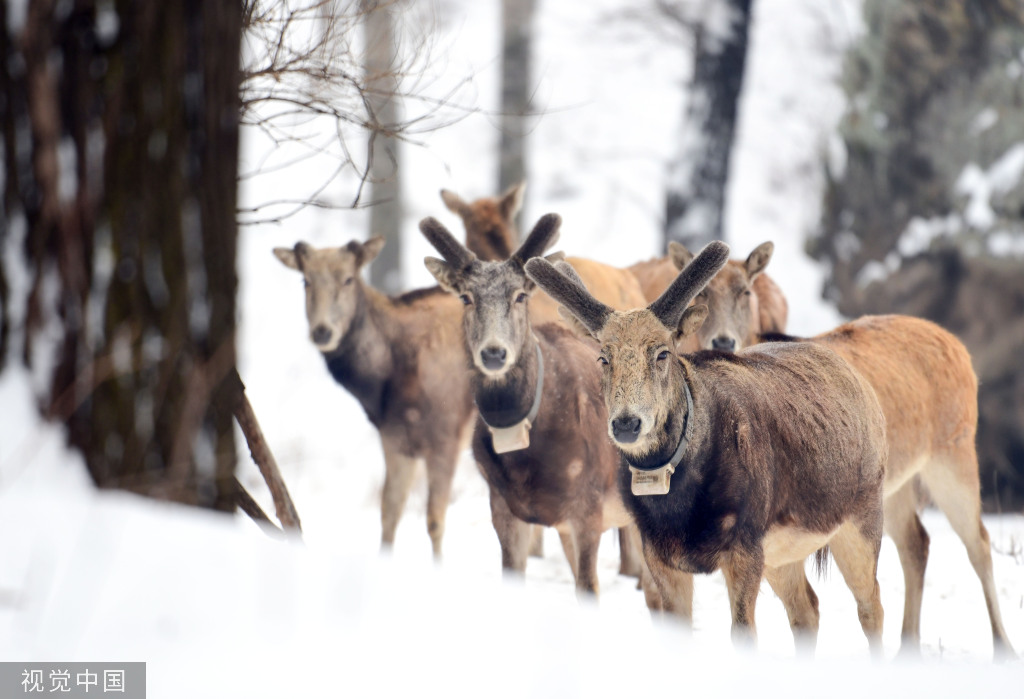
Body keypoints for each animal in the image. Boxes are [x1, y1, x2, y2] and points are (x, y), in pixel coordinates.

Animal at [274, 237, 477, 560]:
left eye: (348, 279)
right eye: (305, 280)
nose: (322, 332)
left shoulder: (447, 435)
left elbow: (434, 520)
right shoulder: (394, 438)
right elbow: (389, 512)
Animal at [417, 211, 655, 601]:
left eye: (520, 296)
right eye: (466, 297)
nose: (494, 353)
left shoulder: (588, 508)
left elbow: (589, 588)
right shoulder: (503, 505)